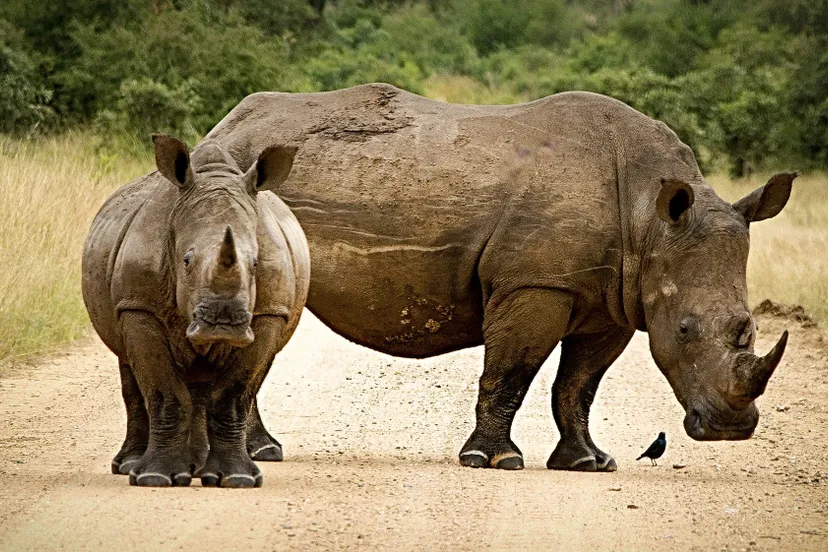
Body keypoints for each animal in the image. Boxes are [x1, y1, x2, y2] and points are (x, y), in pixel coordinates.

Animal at [82, 135, 309, 487]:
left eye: (255, 264)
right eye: (186, 261)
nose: (223, 322)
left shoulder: (269, 313)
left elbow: (232, 396)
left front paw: (236, 479)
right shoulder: (139, 307)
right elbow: (164, 393)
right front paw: (154, 477)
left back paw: (200, 466)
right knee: (129, 368)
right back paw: (132, 465)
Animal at [189, 83, 790, 472]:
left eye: (750, 329)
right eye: (685, 330)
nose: (732, 428)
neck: (650, 220)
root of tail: (220, 128)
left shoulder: (613, 301)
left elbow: (579, 385)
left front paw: (589, 462)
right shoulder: (536, 284)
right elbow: (511, 373)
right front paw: (494, 460)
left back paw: (263, 451)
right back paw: (263, 454)